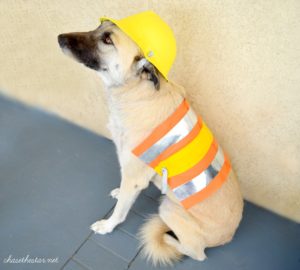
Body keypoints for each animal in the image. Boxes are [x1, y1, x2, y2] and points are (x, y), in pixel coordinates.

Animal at [58, 21, 244, 266]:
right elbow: (123, 193)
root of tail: (230, 235)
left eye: (107, 40)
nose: (60, 37)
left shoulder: (134, 177)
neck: (136, 91)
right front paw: (118, 192)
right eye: (98, 26)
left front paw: (107, 226)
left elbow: (120, 211)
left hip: (168, 211)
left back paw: (167, 237)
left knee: (197, 253)